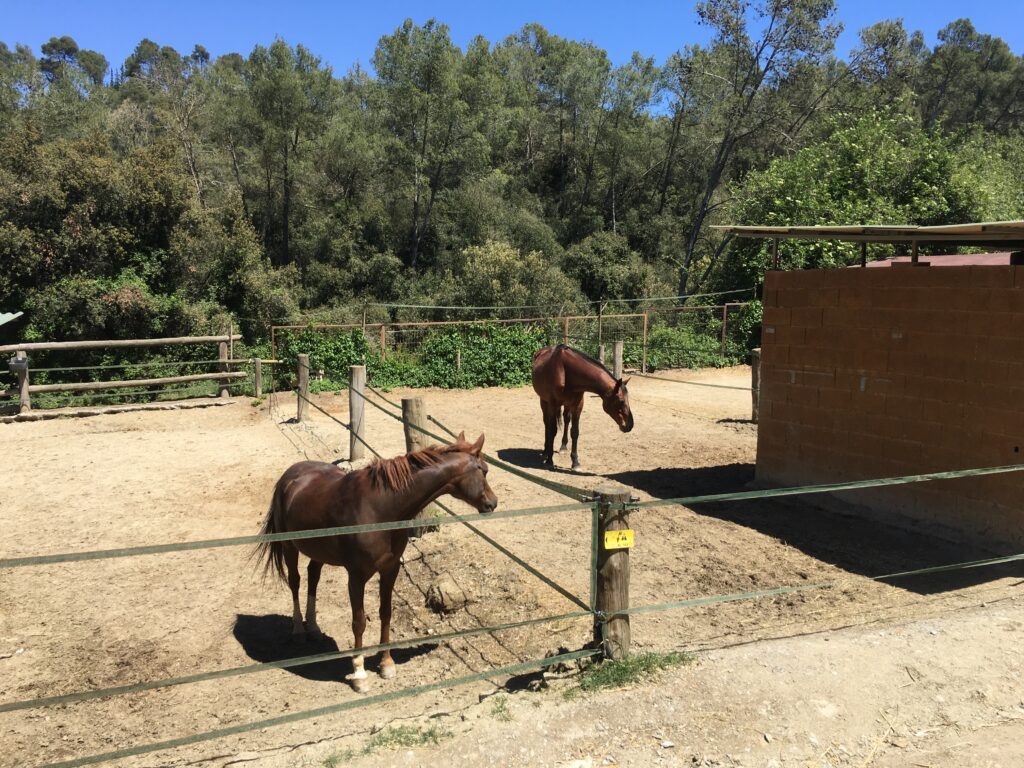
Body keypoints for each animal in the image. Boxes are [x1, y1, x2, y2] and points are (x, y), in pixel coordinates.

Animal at [255, 432, 497, 693]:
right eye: (484, 471)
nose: (492, 503)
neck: (381, 508)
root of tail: (289, 476)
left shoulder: (390, 569)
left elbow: (385, 613)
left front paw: (386, 663)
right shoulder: (356, 576)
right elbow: (359, 621)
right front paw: (360, 674)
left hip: (318, 551)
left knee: (313, 577)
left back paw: (314, 628)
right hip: (289, 548)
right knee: (295, 582)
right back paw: (299, 630)